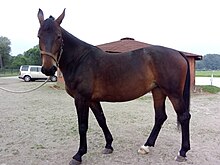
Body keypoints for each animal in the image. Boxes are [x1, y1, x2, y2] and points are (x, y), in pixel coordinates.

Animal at [37, 9, 191, 165]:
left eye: (58, 36)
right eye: (39, 36)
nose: (48, 69)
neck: (79, 60)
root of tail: (178, 53)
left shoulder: (81, 99)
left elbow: (82, 126)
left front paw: (78, 155)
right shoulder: (92, 100)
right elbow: (101, 119)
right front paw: (108, 145)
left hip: (174, 93)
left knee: (184, 116)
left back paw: (182, 152)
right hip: (158, 91)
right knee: (160, 116)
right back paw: (146, 146)